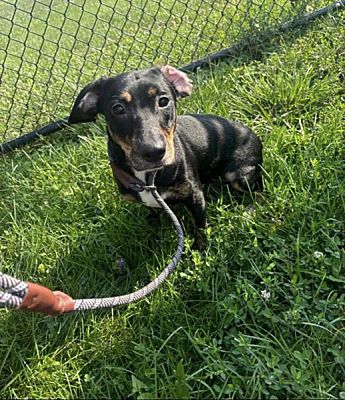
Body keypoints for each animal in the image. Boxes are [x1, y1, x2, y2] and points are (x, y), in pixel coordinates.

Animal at [68, 65, 262, 248]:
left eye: (163, 101)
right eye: (117, 109)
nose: (154, 151)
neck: (149, 178)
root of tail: (254, 135)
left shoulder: (195, 195)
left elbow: (200, 227)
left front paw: (200, 249)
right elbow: (154, 212)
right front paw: (152, 225)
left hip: (238, 174)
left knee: (259, 189)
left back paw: (252, 210)